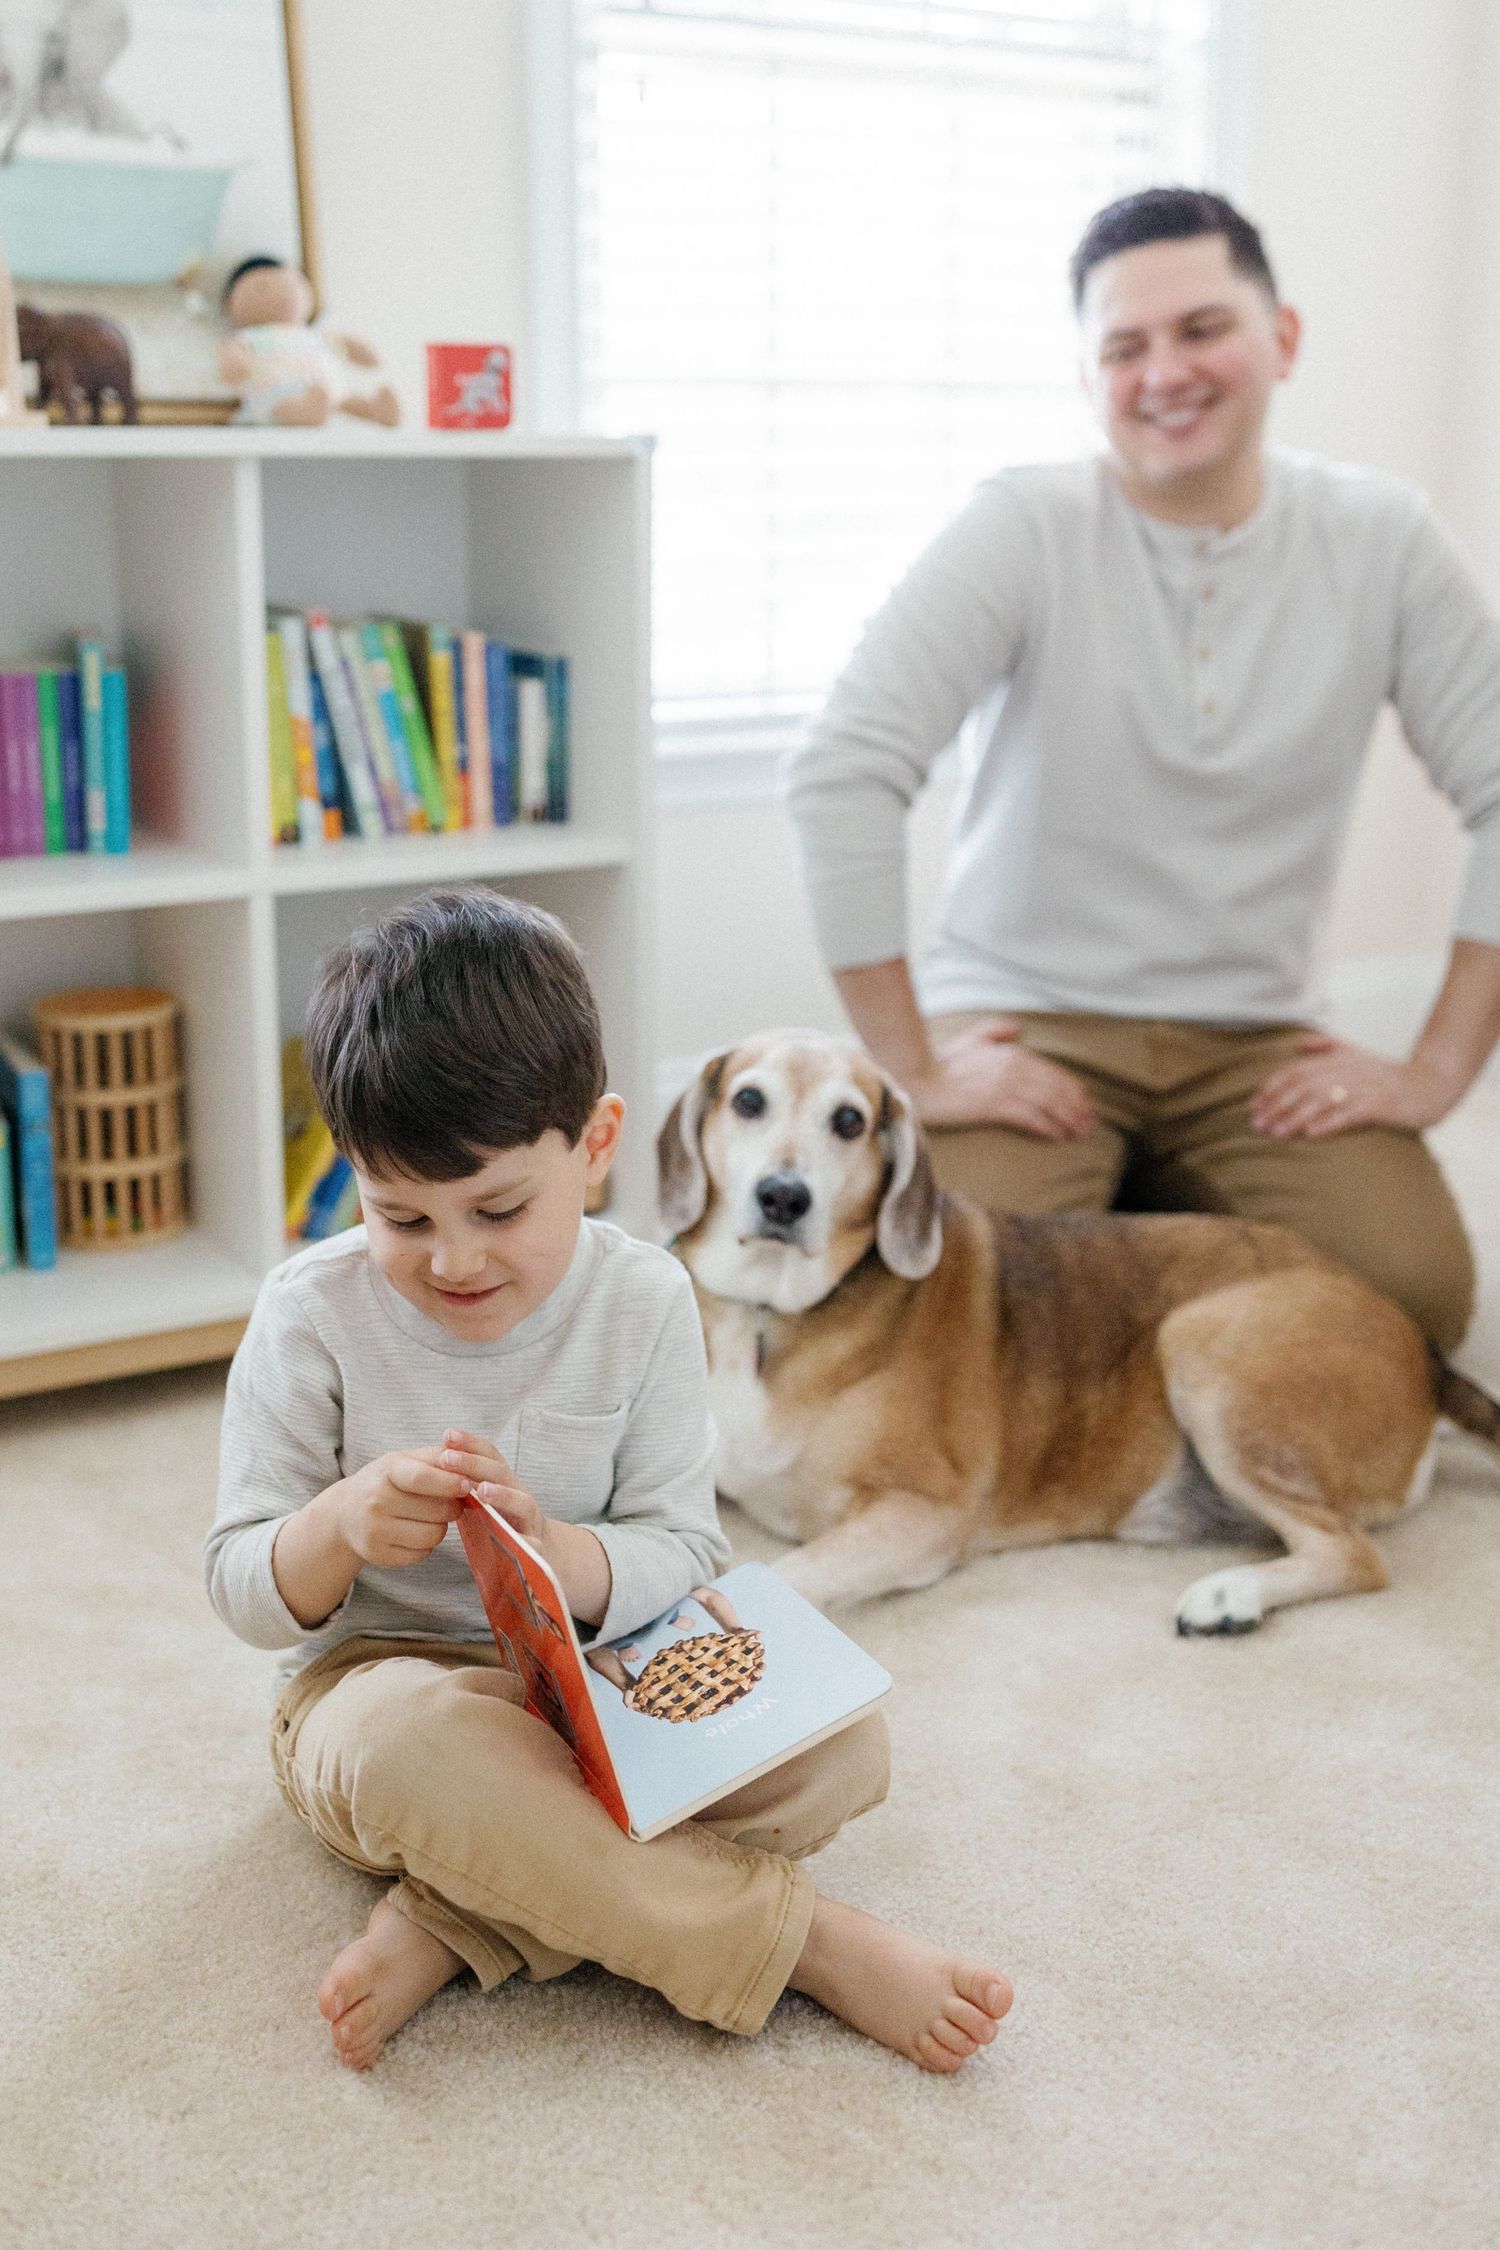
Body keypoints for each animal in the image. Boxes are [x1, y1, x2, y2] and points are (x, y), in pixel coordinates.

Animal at [657, 1030, 1499, 1633]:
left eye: (848, 1121)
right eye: (749, 1101)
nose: (783, 1196)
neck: (770, 1315)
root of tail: (1422, 1346)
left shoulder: (923, 1513)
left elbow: (782, 1578)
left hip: (1203, 1342)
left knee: (1356, 1554)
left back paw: (1231, 1595)